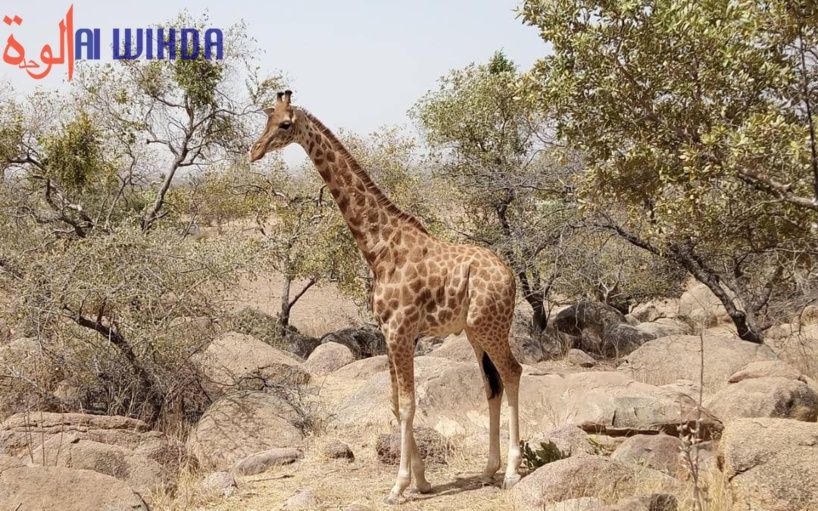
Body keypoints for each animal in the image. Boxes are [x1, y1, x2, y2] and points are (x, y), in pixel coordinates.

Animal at [249, 90, 523, 503]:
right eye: (266, 118)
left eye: (284, 124)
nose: (254, 151)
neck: (378, 249)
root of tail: (511, 276)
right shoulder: (388, 332)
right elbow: (395, 403)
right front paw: (422, 481)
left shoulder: (400, 330)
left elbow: (407, 405)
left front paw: (399, 486)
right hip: (475, 331)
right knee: (492, 385)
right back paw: (489, 469)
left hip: (490, 326)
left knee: (513, 373)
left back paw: (511, 472)